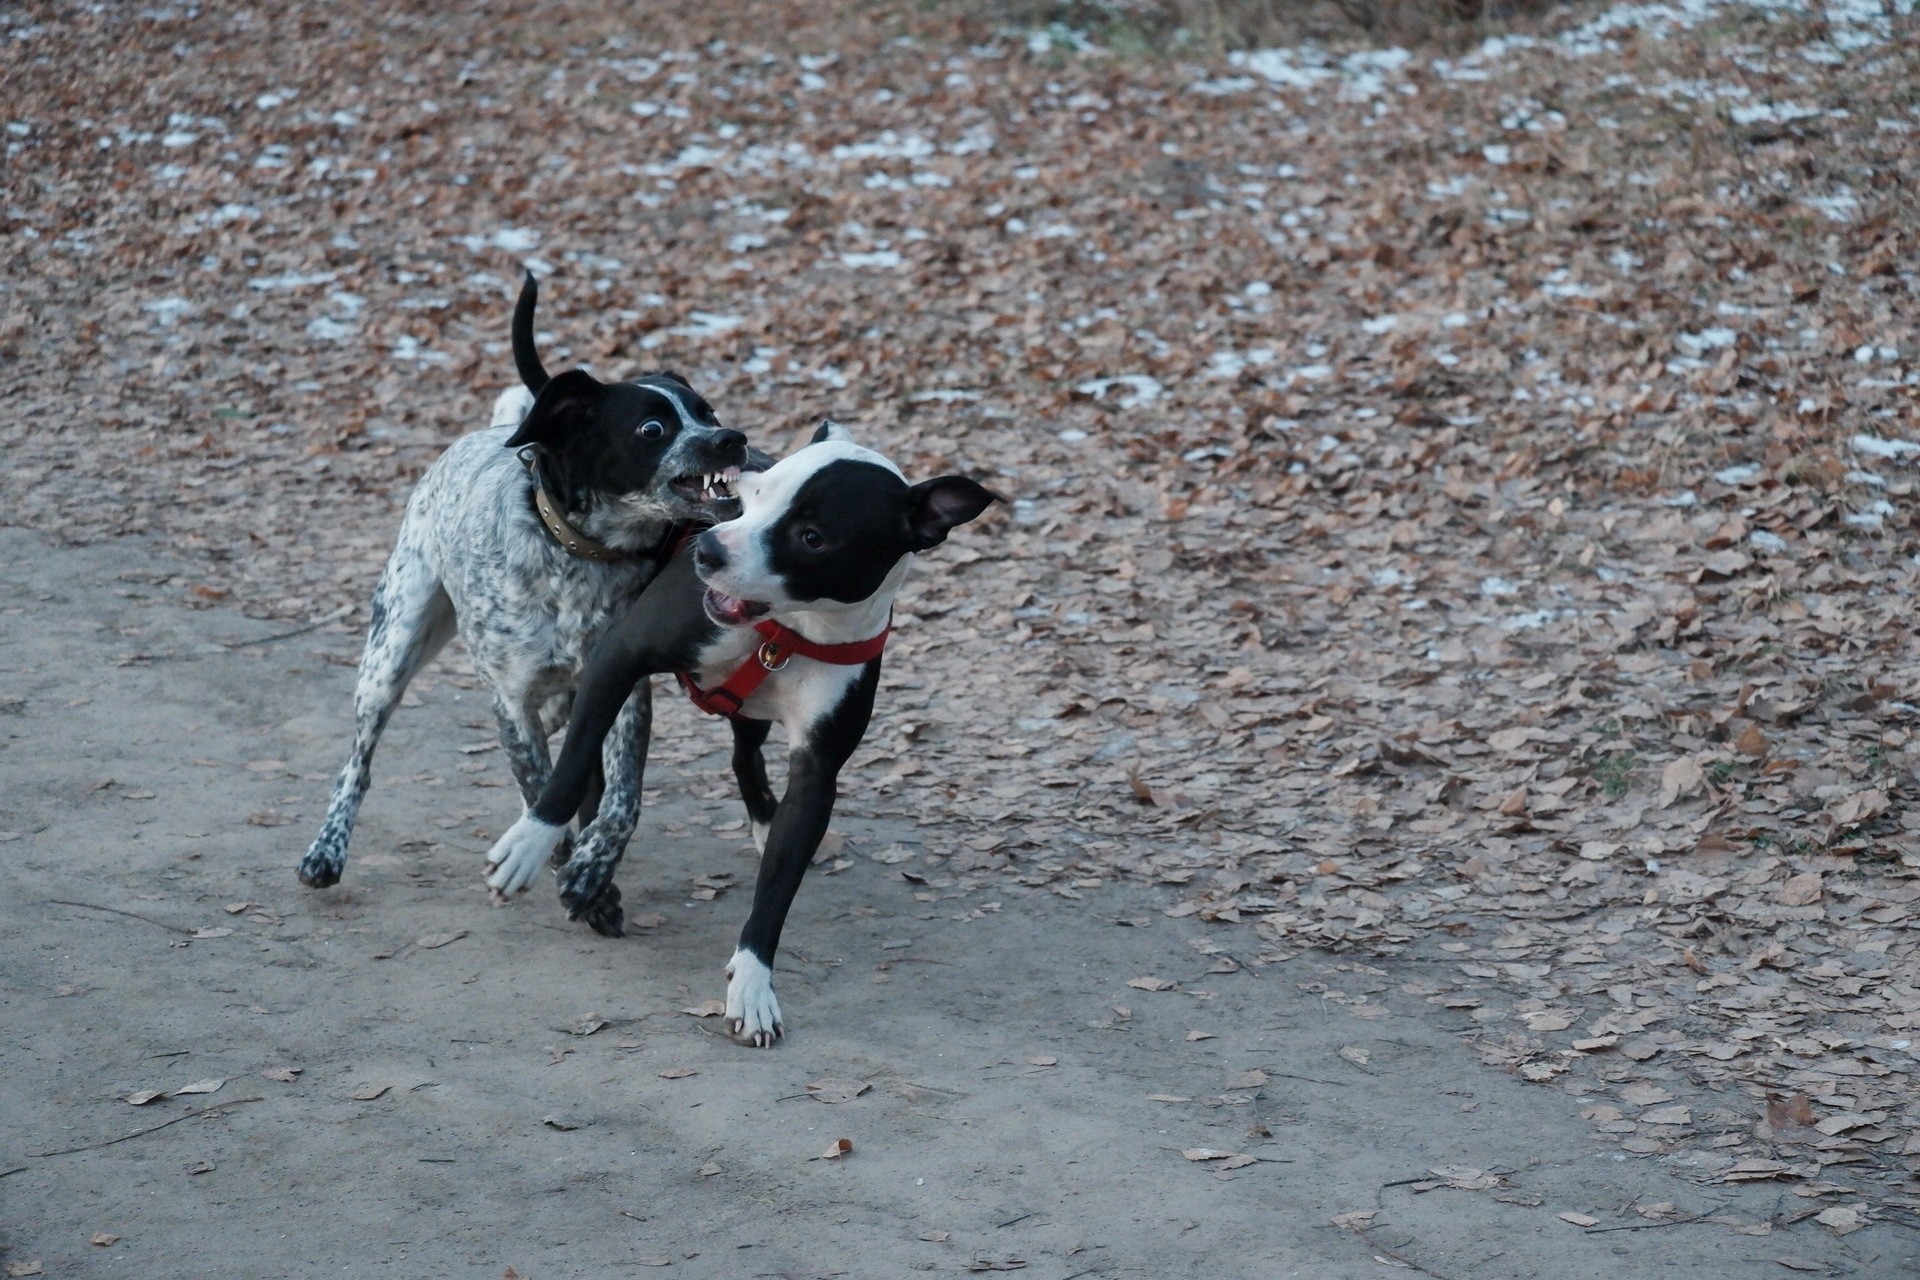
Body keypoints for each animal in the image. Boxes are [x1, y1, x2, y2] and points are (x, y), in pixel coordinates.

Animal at [295, 272, 760, 932]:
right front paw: (568, 866)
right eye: (652, 430)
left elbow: (622, 800)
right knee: (358, 761)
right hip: (391, 653)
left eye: (708, 413)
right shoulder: (510, 701)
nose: (730, 438)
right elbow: (544, 791)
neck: (581, 557)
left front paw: (593, 871)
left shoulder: (624, 689)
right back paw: (327, 848)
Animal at [480, 426, 998, 1043]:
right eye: (752, 494)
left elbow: (776, 889)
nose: (708, 551)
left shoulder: (817, 773)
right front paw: (530, 843)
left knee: (743, 758)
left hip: (750, 717)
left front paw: (753, 985)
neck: (791, 630)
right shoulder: (617, 660)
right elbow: (573, 764)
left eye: (812, 537)